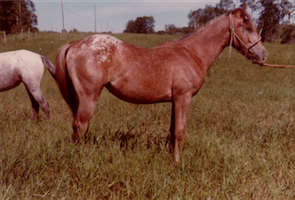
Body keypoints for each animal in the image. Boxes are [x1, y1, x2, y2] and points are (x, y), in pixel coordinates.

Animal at [55, 3, 268, 162]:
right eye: (248, 27)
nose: (263, 54)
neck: (192, 53)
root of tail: (74, 44)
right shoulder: (183, 98)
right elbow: (180, 130)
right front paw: (177, 163)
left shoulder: (175, 100)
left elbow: (172, 130)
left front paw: (170, 156)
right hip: (89, 97)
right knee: (80, 125)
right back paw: (83, 158)